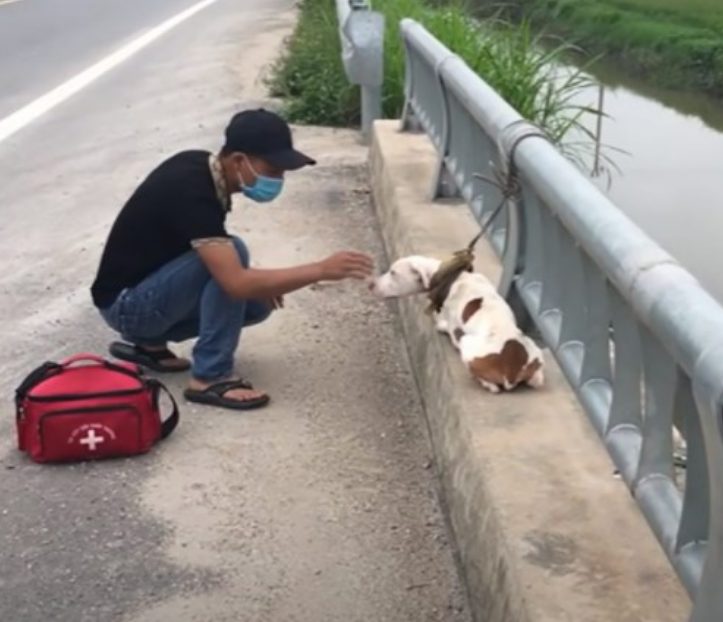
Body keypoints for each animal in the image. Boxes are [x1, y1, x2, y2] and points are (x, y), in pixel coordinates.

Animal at [374, 255, 544, 392]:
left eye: (393, 272)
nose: (371, 285)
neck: (449, 276)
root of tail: (512, 370)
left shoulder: (453, 328)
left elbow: (445, 326)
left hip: (467, 344)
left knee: (493, 387)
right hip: (535, 354)